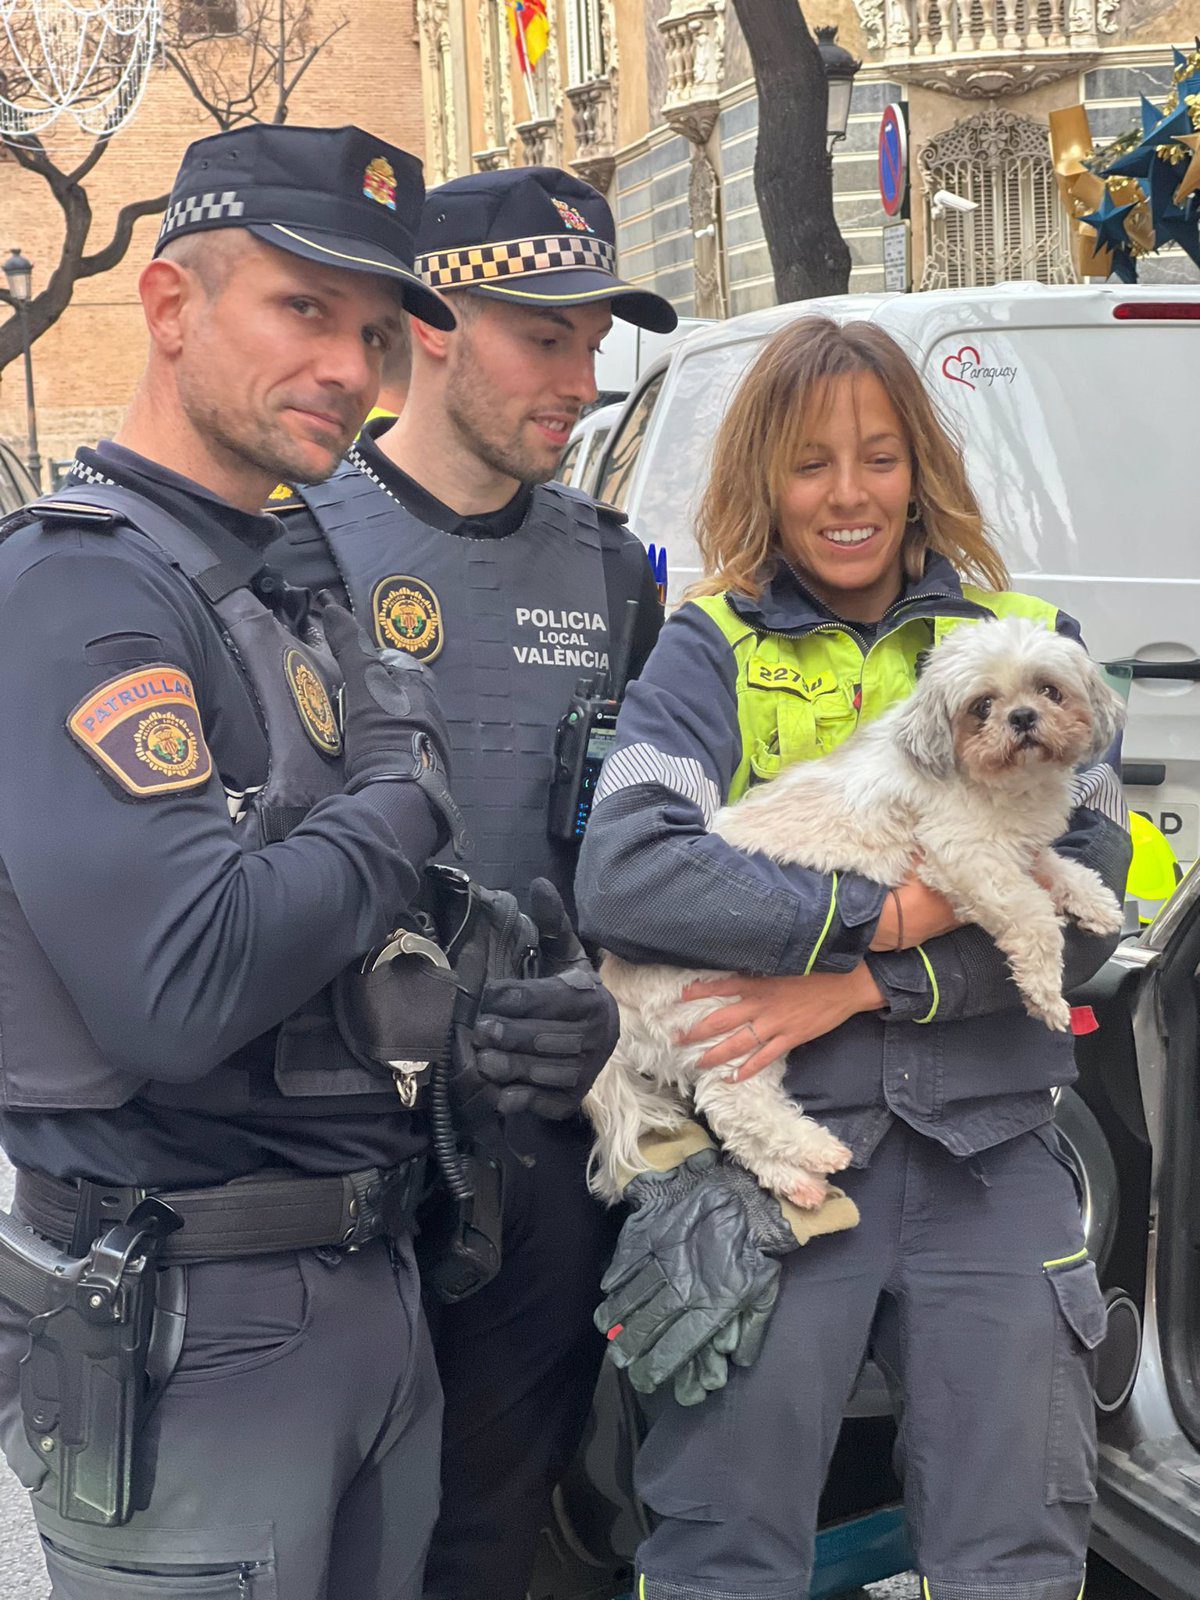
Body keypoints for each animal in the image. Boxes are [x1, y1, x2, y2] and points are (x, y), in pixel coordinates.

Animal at [588, 617, 1126, 1203]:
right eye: (982, 705)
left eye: (1049, 690)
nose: (1023, 717)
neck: (997, 783)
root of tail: (614, 985)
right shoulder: (964, 857)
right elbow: (1033, 915)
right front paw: (1044, 993)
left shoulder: (1014, 850)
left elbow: (1054, 868)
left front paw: (1094, 901)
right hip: (722, 1016)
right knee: (737, 1103)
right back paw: (819, 1150)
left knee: (734, 1118)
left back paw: (796, 1181)